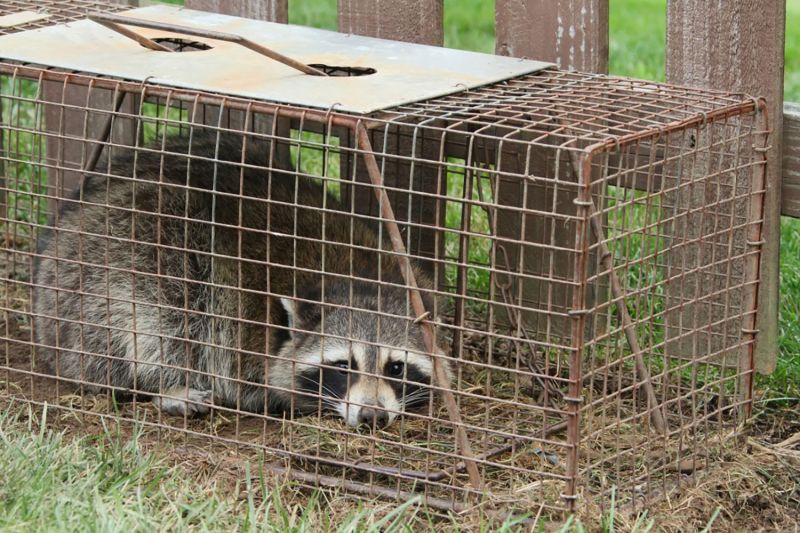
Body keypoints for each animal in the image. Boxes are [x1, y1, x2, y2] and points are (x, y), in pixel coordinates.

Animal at [31, 129, 446, 428]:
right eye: (345, 366)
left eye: (396, 367)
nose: (373, 416)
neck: (360, 277)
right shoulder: (245, 329)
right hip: (124, 251)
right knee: (157, 317)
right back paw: (165, 385)